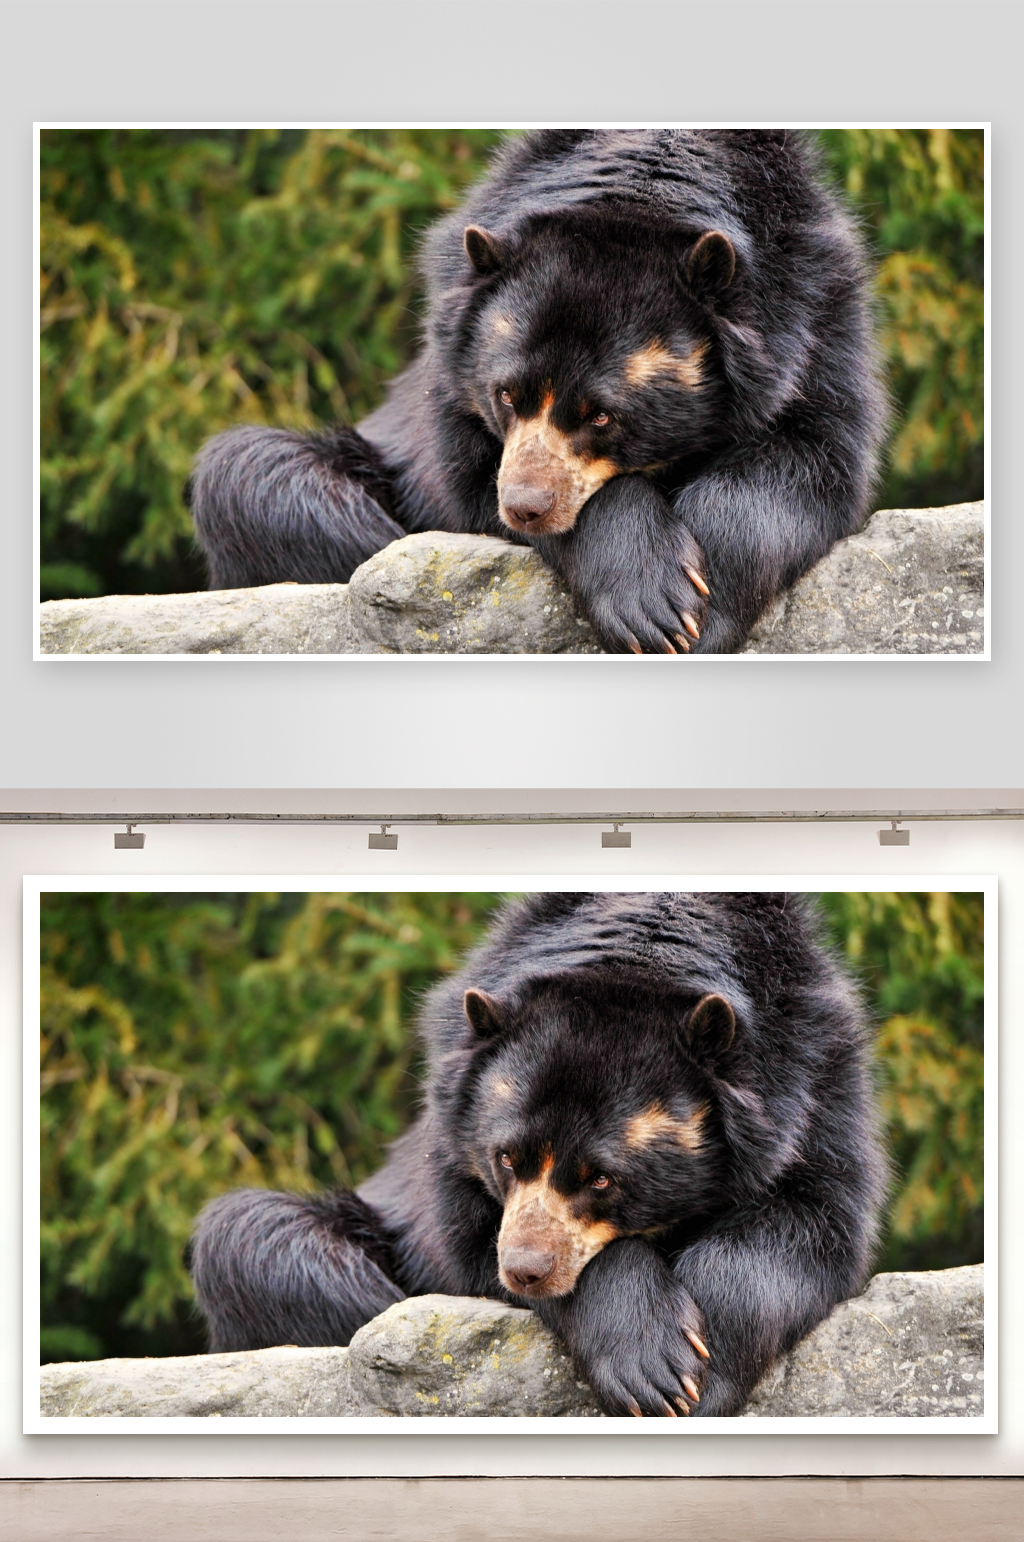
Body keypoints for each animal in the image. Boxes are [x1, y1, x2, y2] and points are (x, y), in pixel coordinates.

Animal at [187, 129, 887, 654]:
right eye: (505, 396)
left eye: (602, 416)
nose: (525, 506)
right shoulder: (450, 372)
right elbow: (467, 480)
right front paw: (653, 604)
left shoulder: (817, 321)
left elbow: (810, 459)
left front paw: (700, 614)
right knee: (252, 476)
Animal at [189, 891, 885, 1417]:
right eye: (505, 1159)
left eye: (602, 1179)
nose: (525, 1269)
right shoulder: (451, 1135)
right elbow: (469, 1243)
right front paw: (653, 1368)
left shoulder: (817, 1084)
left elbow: (810, 1222)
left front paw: (699, 1378)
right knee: (252, 1238)